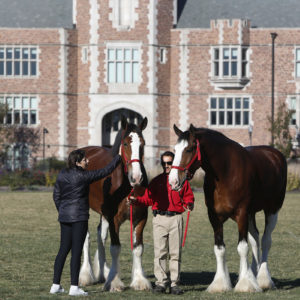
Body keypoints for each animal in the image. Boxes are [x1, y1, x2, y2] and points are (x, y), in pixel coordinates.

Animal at [78, 116, 151, 292]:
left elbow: (138, 248)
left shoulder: (140, 218)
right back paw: (86, 275)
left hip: (104, 214)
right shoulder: (114, 220)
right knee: (87, 237)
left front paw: (139, 280)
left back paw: (103, 272)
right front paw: (114, 282)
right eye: (125, 143)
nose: (136, 177)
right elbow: (115, 248)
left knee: (100, 235)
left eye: (143, 143)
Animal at [168, 124, 288, 292]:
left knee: (265, 240)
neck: (226, 172)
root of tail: (276, 155)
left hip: (272, 210)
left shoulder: (242, 214)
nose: (173, 181)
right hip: (251, 214)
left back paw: (264, 279)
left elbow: (242, 247)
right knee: (255, 239)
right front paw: (221, 284)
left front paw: (245, 284)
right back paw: (253, 273)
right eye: (175, 148)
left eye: (190, 149)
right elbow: (220, 248)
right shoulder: (214, 217)